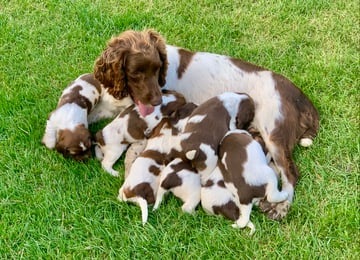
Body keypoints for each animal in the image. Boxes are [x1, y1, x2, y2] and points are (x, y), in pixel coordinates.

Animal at [93, 29, 320, 219]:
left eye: (157, 70)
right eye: (135, 74)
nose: (157, 100)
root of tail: (300, 97)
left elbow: (132, 154)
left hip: (273, 130)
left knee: (290, 173)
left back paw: (281, 207)